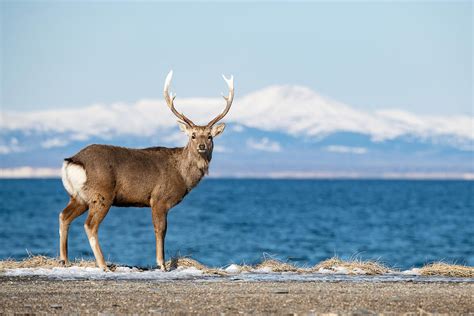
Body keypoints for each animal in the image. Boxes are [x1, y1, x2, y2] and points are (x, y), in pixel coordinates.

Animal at [59, 71, 233, 272]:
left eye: (210, 136)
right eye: (193, 135)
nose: (202, 146)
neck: (183, 176)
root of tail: (73, 161)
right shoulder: (159, 198)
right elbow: (161, 230)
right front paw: (162, 264)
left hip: (78, 197)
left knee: (63, 216)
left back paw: (64, 260)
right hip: (101, 194)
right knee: (90, 225)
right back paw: (103, 265)